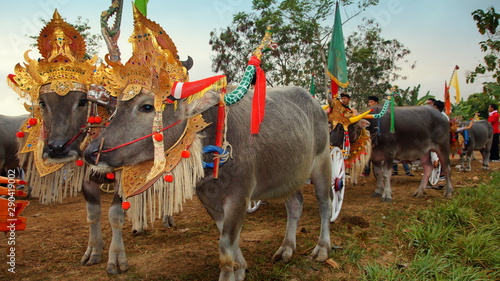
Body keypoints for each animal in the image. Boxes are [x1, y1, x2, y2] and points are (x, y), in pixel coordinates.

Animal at [84, 86, 334, 278]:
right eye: (116, 108)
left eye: (147, 106)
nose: (91, 152)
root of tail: (316, 105)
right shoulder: (208, 197)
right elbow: (227, 237)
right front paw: (240, 268)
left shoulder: (239, 195)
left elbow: (226, 246)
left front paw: (230, 273)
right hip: (288, 176)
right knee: (295, 204)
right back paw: (286, 249)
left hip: (322, 163)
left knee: (325, 204)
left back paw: (322, 249)